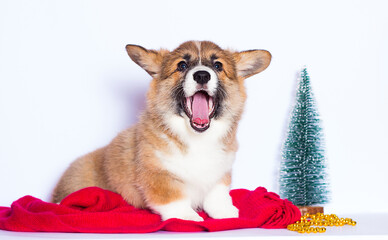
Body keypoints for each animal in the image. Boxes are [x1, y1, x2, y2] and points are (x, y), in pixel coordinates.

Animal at [53, 40, 272, 221]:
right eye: (182, 65)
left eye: (218, 65)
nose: (202, 74)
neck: (197, 139)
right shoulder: (158, 175)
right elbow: (173, 197)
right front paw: (187, 217)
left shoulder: (220, 171)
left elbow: (217, 193)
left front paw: (225, 211)